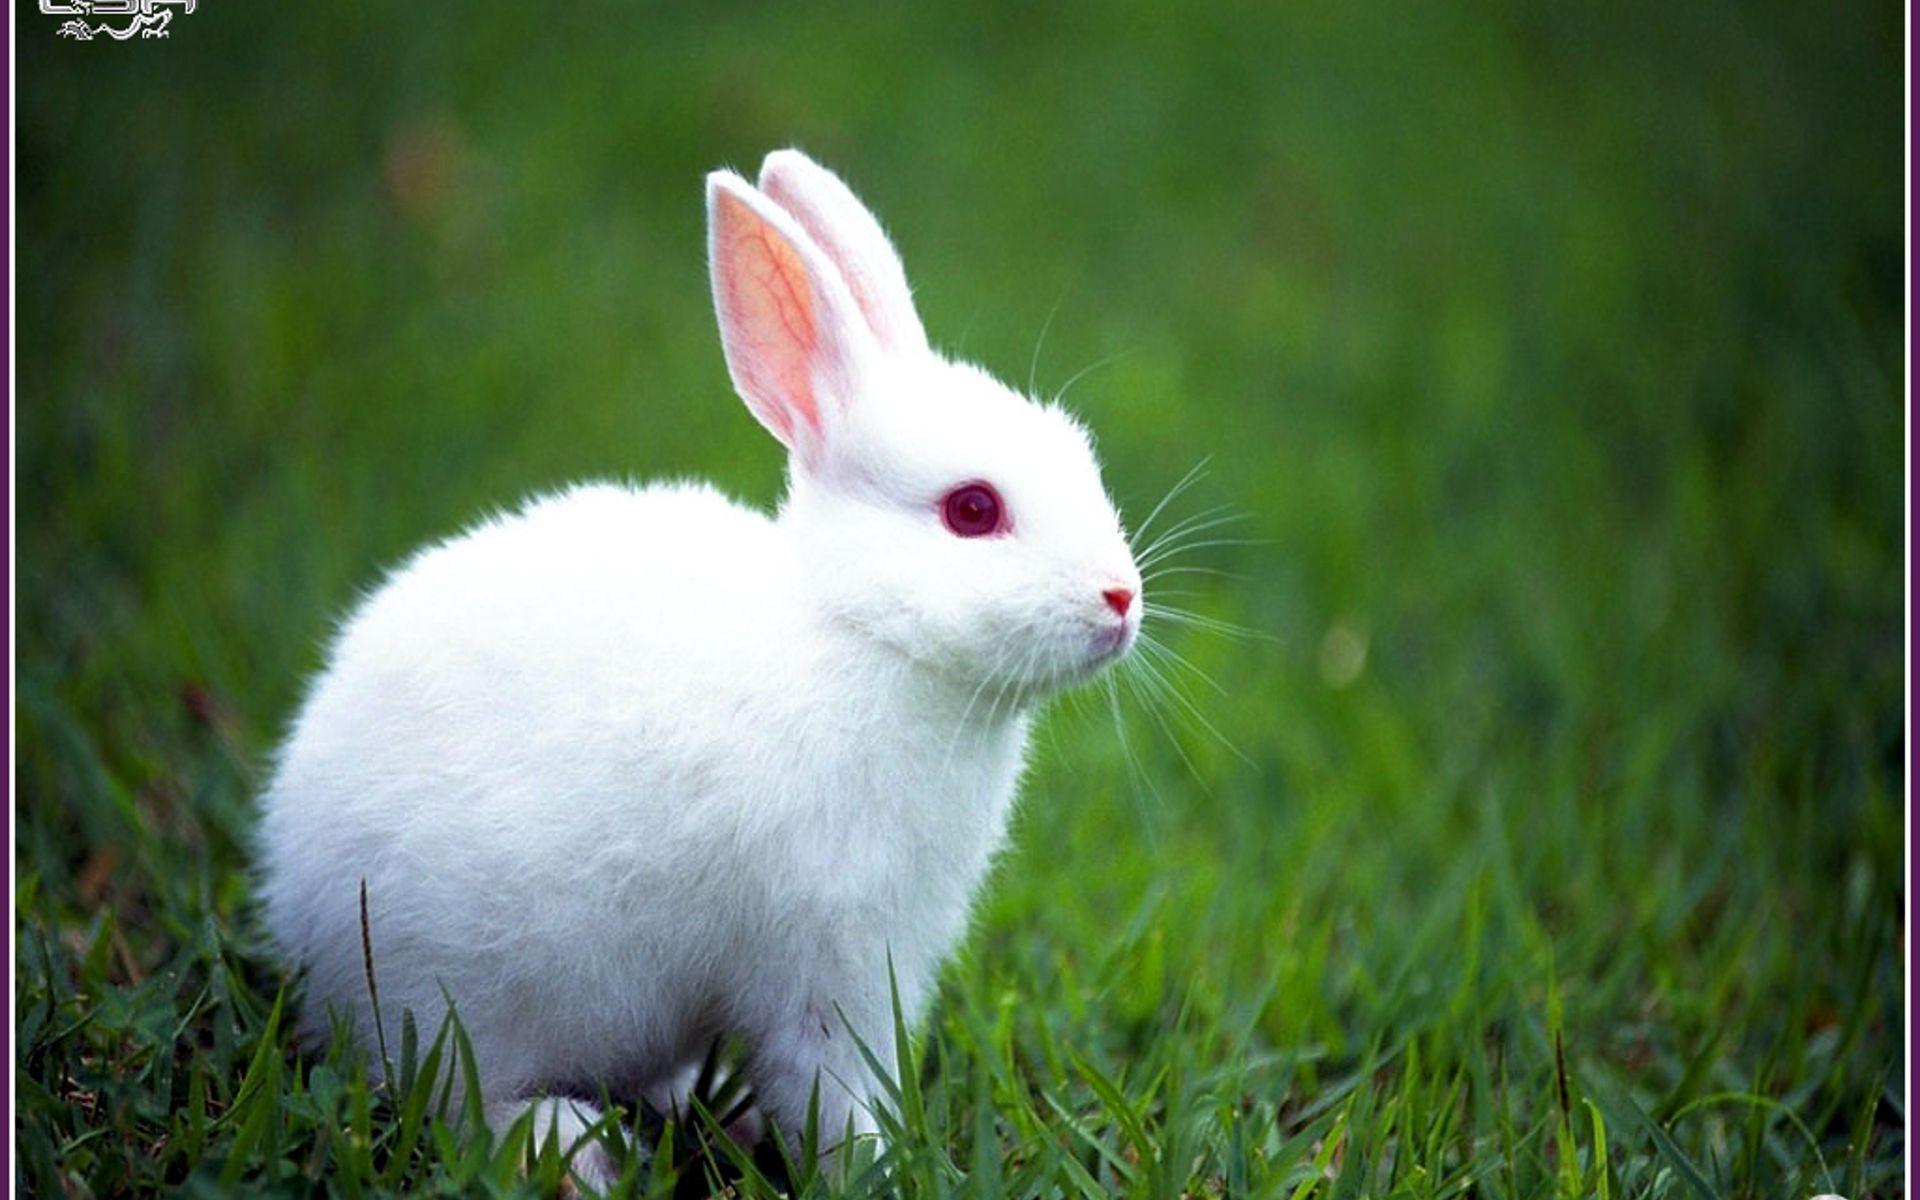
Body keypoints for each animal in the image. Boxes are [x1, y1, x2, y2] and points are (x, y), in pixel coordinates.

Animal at [257, 148, 1143, 1186]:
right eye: (973, 509)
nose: (1121, 598)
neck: (860, 634)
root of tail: (296, 897)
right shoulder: (828, 961)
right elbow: (831, 1089)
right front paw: (874, 1168)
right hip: (458, 991)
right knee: (456, 1097)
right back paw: (575, 1151)